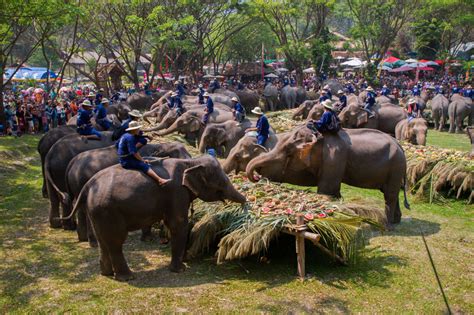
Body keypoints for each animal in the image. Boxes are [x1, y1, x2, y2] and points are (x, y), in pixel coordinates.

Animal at [58, 156, 244, 282]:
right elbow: (178, 225)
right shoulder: (176, 192)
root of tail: (88, 185)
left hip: (96, 211)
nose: (245, 203)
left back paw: (107, 274)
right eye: (221, 183)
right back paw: (127, 277)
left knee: (103, 241)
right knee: (116, 242)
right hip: (107, 211)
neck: (190, 162)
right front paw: (181, 269)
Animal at [64, 143, 192, 244]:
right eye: (175, 154)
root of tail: (72, 162)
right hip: (83, 181)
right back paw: (93, 242)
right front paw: (148, 239)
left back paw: (83, 238)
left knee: (78, 205)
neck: (160, 145)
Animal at [246, 126, 410, 227]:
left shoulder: (333, 158)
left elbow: (327, 190)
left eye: (288, 152)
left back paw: (387, 225)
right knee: (392, 193)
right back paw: (396, 221)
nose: (257, 177)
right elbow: (334, 193)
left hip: (395, 167)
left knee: (390, 195)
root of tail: (400, 146)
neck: (320, 135)